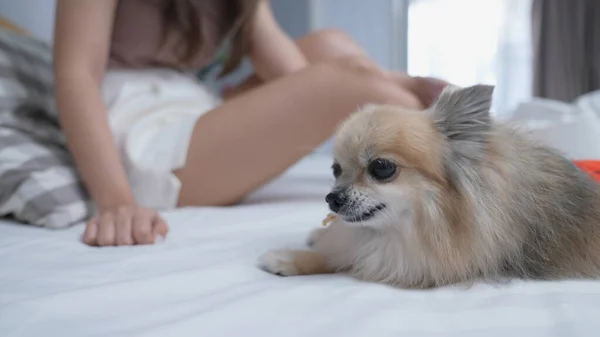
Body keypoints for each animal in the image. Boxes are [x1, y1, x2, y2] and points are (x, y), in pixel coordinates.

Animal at [258, 84, 600, 286]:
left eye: (381, 168)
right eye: (336, 170)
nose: (332, 198)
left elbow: (346, 261)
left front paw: (287, 258)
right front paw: (312, 243)